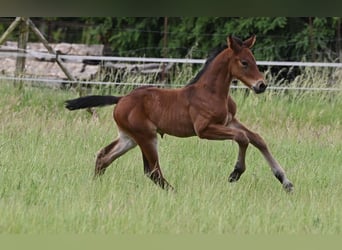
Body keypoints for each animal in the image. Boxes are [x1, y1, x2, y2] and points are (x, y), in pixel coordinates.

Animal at [66, 35, 294, 192]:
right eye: (244, 62)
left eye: (254, 60)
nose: (261, 85)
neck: (211, 92)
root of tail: (121, 99)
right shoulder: (204, 130)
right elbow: (243, 138)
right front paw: (235, 173)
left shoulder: (229, 121)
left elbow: (257, 138)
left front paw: (286, 181)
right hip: (146, 137)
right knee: (152, 171)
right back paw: (176, 193)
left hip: (129, 138)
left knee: (104, 157)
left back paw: (95, 185)